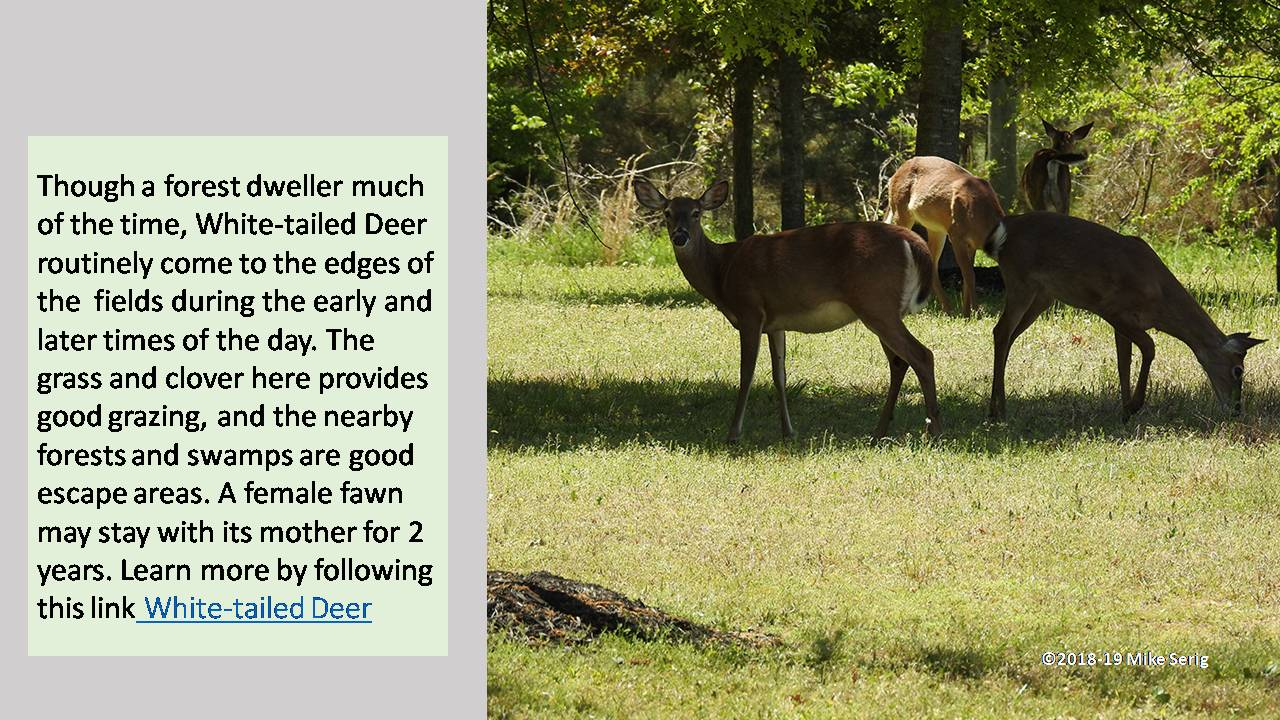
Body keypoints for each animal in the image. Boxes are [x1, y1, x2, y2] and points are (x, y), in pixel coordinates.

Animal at [633, 176, 941, 442]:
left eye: (696, 213)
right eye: (668, 213)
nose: (680, 237)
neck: (721, 271)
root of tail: (914, 243)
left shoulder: (750, 310)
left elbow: (746, 373)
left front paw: (733, 433)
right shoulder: (775, 322)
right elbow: (779, 376)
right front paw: (788, 431)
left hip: (876, 303)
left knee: (921, 354)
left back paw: (933, 431)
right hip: (880, 308)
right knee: (899, 362)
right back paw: (879, 431)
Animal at [884, 156, 1006, 318]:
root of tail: (893, 175)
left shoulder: (971, 244)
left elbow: (967, 276)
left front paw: (967, 313)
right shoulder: (956, 234)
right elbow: (970, 275)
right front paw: (976, 313)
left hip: (936, 229)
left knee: (932, 262)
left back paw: (948, 309)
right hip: (901, 211)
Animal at [984, 212, 1266, 420]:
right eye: (1238, 370)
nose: (1236, 410)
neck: (1159, 297)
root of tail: (1003, 229)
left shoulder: (1124, 323)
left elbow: (1124, 362)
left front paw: (1124, 411)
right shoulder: (1112, 309)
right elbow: (1149, 348)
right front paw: (1134, 405)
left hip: (1043, 296)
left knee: (1009, 336)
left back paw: (997, 404)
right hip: (1021, 282)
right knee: (1001, 331)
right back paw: (999, 411)